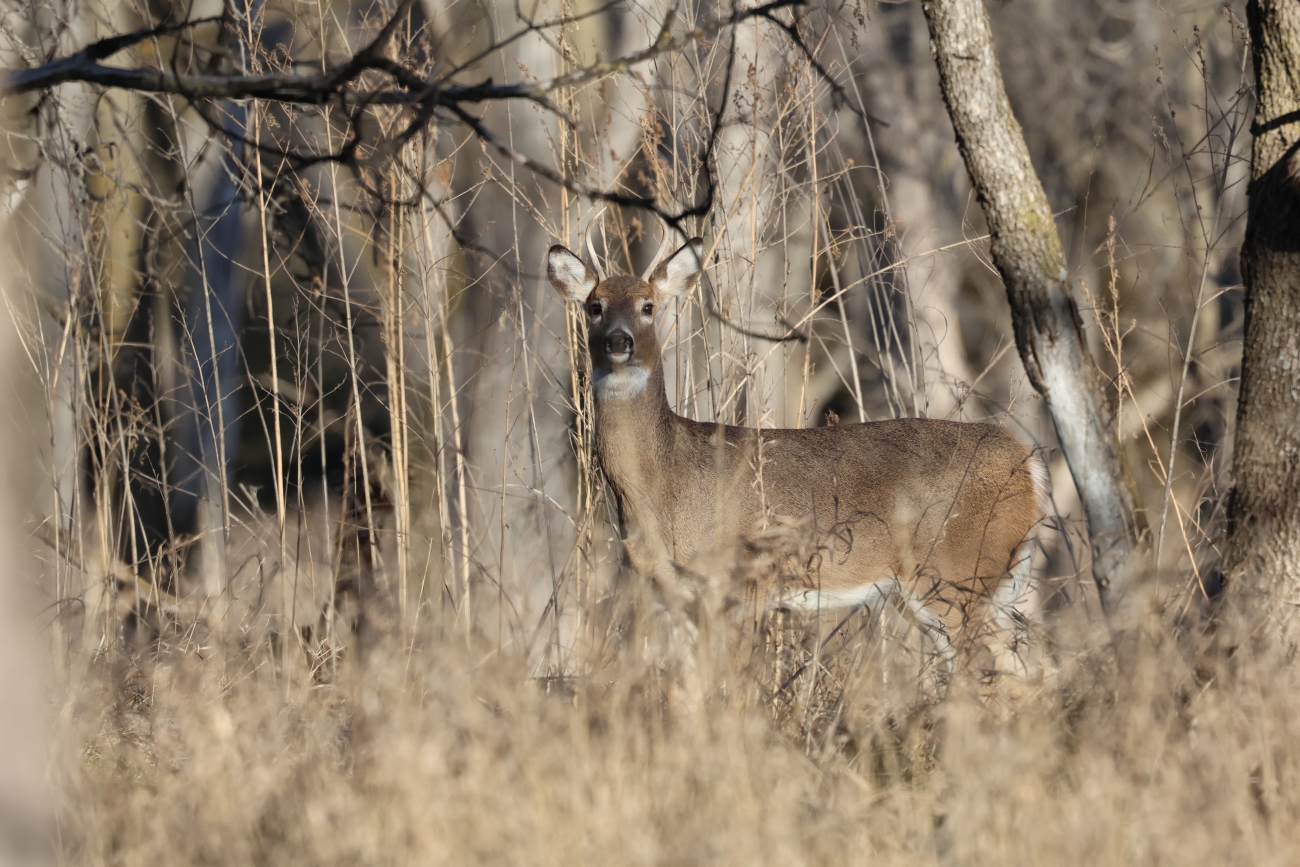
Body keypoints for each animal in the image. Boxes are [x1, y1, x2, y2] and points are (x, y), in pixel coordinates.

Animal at [547, 236, 1049, 672]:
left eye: (648, 306)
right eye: (594, 306)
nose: (619, 341)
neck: (664, 487)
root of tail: (1029, 465)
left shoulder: (745, 583)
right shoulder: (671, 594)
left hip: (959, 572)